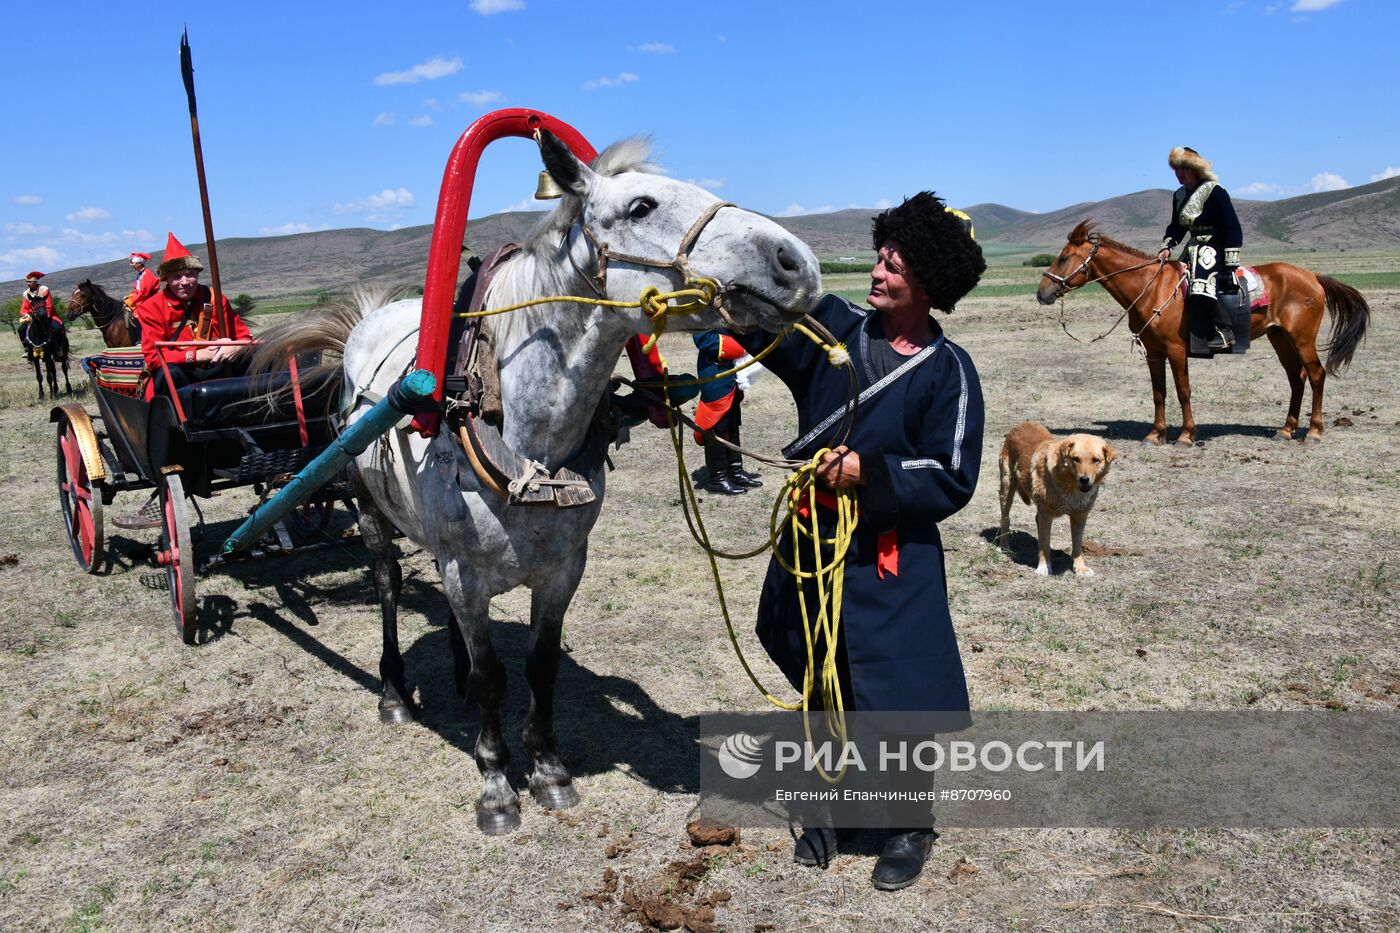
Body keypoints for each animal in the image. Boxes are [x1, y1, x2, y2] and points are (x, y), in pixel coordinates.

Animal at [263, 128, 817, 829]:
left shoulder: (562, 568)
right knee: (388, 584)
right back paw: (393, 691)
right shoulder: (464, 569)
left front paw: (550, 770)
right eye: (641, 206)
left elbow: (540, 664)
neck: (528, 431)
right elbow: (491, 677)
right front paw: (497, 784)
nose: (798, 263)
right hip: (366, 506)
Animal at [996, 420, 1114, 574]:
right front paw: (1043, 567)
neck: (1070, 486)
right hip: (1007, 489)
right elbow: (1044, 544)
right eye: (1076, 459)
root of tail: (1021, 424)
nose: (1084, 480)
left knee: (1037, 521)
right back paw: (1004, 545)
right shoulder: (1046, 512)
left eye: (1095, 460)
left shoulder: (1080, 515)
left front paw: (1080, 568)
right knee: (1005, 519)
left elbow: (1077, 545)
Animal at [1041, 221, 1366, 448]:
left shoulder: (1175, 349)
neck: (1152, 288)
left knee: (1316, 375)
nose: (1042, 292)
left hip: (1301, 338)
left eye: (1064, 258)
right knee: (1296, 379)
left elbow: (1183, 391)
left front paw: (1186, 436)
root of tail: (1313, 277)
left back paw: (1313, 432)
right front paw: (1155, 434)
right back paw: (1286, 431)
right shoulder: (1154, 352)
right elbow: (1159, 392)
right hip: (1280, 338)